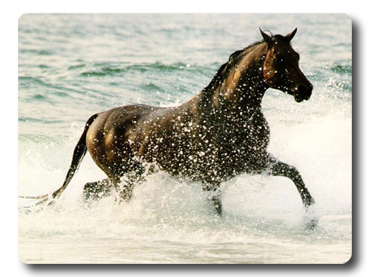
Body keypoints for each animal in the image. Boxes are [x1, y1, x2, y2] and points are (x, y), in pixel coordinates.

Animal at [20, 28, 316, 224]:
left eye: (297, 56)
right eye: (280, 59)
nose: (306, 89)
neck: (227, 111)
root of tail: (99, 118)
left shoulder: (253, 161)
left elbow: (294, 174)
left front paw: (312, 216)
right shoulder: (213, 177)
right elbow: (217, 208)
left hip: (131, 176)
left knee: (89, 190)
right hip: (123, 179)